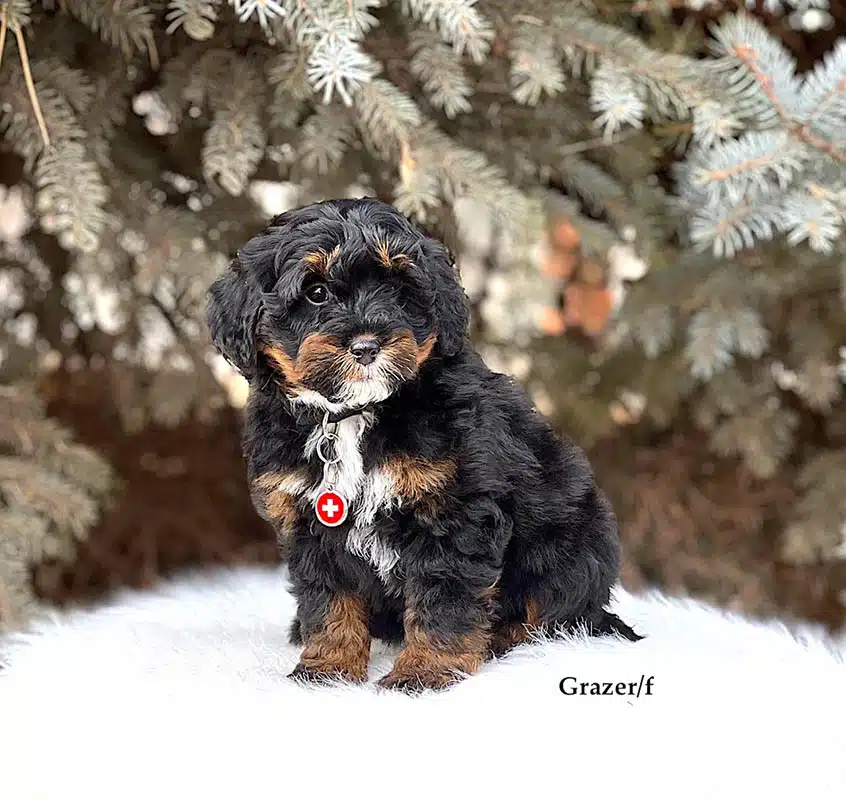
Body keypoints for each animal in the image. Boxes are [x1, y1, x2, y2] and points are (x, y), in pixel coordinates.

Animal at [207, 197, 644, 692]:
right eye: (315, 293)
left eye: (399, 290)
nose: (366, 346)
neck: (354, 416)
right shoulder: (308, 522)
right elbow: (330, 598)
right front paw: (328, 668)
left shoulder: (455, 511)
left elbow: (444, 595)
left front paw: (426, 670)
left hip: (573, 538)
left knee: (554, 611)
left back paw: (504, 639)